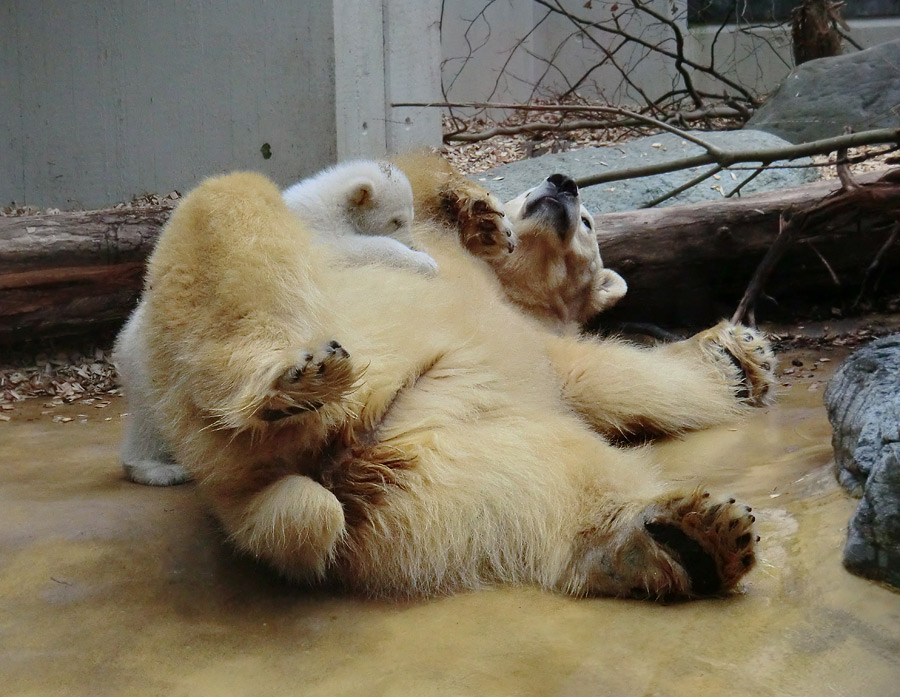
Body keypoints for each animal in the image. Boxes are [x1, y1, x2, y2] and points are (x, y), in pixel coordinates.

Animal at [141, 170, 772, 600]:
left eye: (590, 223)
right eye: (528, 192)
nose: (563, 182)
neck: (510, 289)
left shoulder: (528, 339)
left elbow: (597, 377)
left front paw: (741, 360)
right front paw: (477, 209)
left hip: (432, 462)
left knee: (542, 477)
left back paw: (684, 540)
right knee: (231, 204)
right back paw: (290, 380)